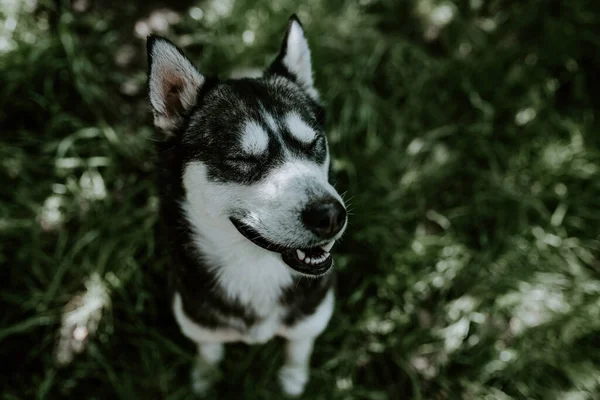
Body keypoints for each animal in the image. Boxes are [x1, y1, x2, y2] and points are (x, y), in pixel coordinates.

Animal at [146, 14, 350, 396]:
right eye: (242, 159)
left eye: (314, 143)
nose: (330, 215)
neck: (256, 266)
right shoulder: (197, 317)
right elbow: (209, 348)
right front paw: (205, 378)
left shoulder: (313, 313)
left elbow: (299, 346)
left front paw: (293, 379)